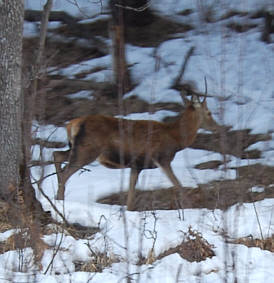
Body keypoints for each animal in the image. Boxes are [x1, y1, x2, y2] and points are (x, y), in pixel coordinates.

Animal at [53, 87, 220, 211]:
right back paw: (60, 200)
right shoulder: (162, 158)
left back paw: (57, 199)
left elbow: (130, 196)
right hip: (87, 150)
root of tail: (71, 124)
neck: (176, 138)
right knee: (66, 172)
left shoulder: (136, 165)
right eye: (209, 113)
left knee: (57, 155)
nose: (217, 127)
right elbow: (177, 184)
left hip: (77, 148)